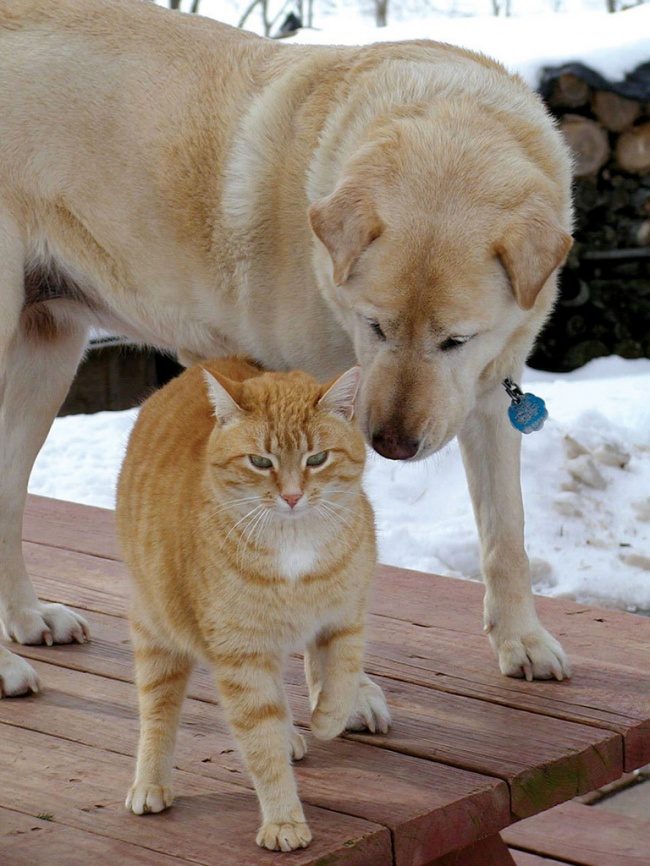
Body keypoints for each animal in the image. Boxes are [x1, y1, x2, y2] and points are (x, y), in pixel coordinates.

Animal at [0, 0, 572, 692]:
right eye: (375, 326)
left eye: (455, 340)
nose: (392, 444)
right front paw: (342, 694)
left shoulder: (487, 404)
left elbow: (506, 536)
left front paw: (522, 640)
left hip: (47, 356)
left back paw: (28, 620)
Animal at [115, 356, 390, 852]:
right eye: (261, 462)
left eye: (317, 458)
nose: (292, 495)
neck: (295, 544)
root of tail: (202, 365)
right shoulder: (241, 656)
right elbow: (260, 743)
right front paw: (283, 821)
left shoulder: (346, 618)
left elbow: (341, 678)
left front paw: (326, 721)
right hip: (157, 632)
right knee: (157, 710)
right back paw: (150, 782)